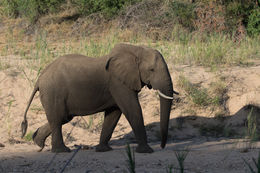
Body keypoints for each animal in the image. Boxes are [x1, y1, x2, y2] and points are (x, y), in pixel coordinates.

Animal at [21, 43, 178, 153]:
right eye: (151, 70)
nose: (162, 146)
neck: (136, 49)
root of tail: (39, 78)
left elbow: (114, 114)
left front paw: (103, 149)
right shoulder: (118, 82)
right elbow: (132, 109)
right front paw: (146, 151)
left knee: (62, 118)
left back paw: (38, 142)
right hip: (53, 92)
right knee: (58, 118)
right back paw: (62, 151)